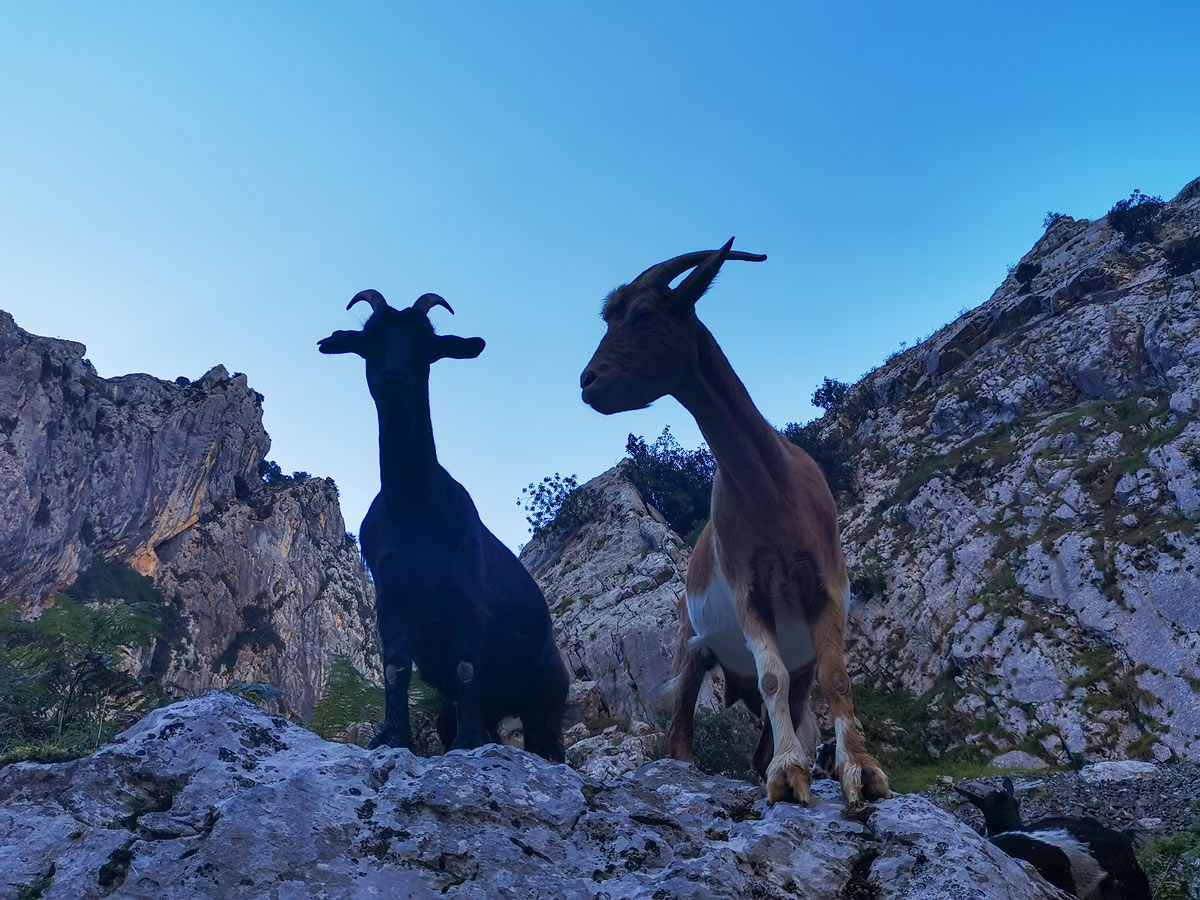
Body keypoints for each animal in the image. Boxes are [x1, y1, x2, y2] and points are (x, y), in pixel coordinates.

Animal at [321, 289, 568, 763]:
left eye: (427, 341)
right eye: (370, 336)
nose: (395, 378)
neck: (415, 505)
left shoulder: (468, 600)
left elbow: (467, 666)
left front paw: (470, 743)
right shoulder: (391, 602)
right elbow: (395, 668)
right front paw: (392, 736)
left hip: (548, 699)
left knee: (549, 740)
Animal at [580, 243, 892, 806]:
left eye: (643, 314)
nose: (587, 383)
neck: (773, 491)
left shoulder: (826, 585)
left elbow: (837, 678)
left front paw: (860, 769)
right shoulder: (748, 588)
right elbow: (770, 679)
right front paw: (789, 775)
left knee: (773, 727)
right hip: (691, 649)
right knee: (681, 730)